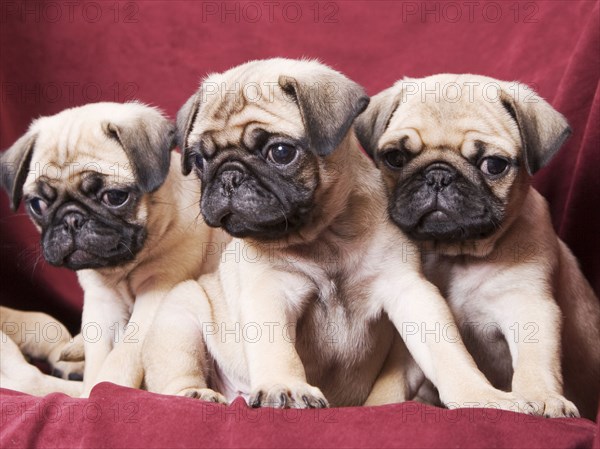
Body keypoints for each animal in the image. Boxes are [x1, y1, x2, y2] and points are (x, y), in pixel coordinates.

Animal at [0, 103, 229, 398]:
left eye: (115, 197)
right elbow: (99, 355)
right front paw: (90, 389)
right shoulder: (101, 304)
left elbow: (121, 357)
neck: (123, 268)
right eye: (38, 205)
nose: (71, 219)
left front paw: (102, 389)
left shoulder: (158, 293)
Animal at [142, 59, 536, 412]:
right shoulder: (270, 290)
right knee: (175, 374)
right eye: (199, 160)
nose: (229, 176)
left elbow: (448, 351)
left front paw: (479, 395)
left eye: (281, 152)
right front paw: (286, 387)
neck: (325, 236)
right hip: (182, 313)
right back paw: (195, 394)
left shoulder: (411, 292)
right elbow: (276, 347)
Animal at [356, 74, 600, 420]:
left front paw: (541, 397)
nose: (438, 176)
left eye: (494, 165)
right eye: (395, 158)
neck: (455, 253)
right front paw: (376, 406)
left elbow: (535, 361)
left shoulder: (528, 306)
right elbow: (392, 382)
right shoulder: (412, 340)